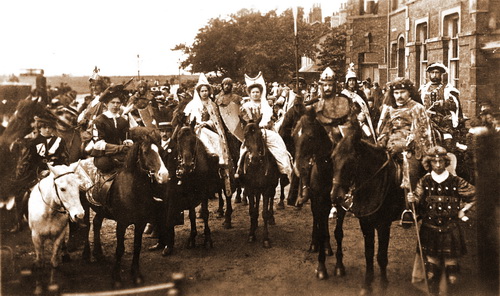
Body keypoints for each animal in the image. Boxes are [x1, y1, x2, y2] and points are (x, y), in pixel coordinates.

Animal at [81, 128, 169, 290]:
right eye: (146, 152)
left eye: (161, 150)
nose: (164, 175)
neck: (132, 189)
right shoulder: (121, 224)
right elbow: (120, 249)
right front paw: (116, 278)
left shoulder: (140, 223)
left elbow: (137, 246)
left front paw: (136, 274)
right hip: (83, 207)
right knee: (86, 226)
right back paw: (87, 255)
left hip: (101, 210)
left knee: (96, 223)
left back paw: (99, 254)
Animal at [158, 121, 217, 256]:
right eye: (178, 141)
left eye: (193, 140)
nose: (187, 166)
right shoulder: (188, 193)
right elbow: (191, 215)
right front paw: (192, 236)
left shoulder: (204, 192)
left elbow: (205, 214)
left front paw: (207, 238)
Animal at [294, 111, 346, 280]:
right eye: (294, 136)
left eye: (310, 137)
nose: (299, 168)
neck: (328, 170)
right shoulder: (319, 201)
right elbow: (320, 227)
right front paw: (321, 267)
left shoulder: (340, 205)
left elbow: (338, 233)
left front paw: (339, 266)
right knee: (317, 219)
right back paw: (314, 244)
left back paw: (327, 247)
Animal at [330, 119, 404, 294]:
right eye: (332, 158)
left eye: (351, 161)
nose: (336, 196)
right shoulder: (366, 223)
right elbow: (369, 253)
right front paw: (367, 285)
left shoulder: (384, 225)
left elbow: (381, 256)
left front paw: (383, 285)